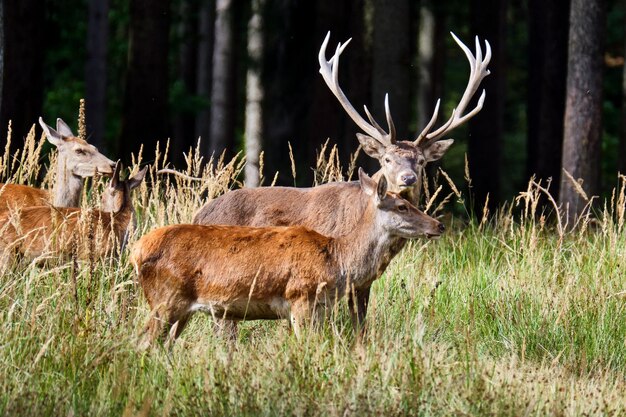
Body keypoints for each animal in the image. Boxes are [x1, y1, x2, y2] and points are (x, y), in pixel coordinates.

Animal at [132, 167, 444, 342]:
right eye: (402, 207)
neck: (338, 260)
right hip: (166, 299)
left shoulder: (319, 308)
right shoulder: (300, 298)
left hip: (180, 309)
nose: (438, 225)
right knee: (143, 342)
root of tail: (137, 250)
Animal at [193, 31, 490, 332]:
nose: (408, 178)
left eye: (421, 161)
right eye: (387, 159)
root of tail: (198, 215)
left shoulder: (364, 282)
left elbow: (360, 323)